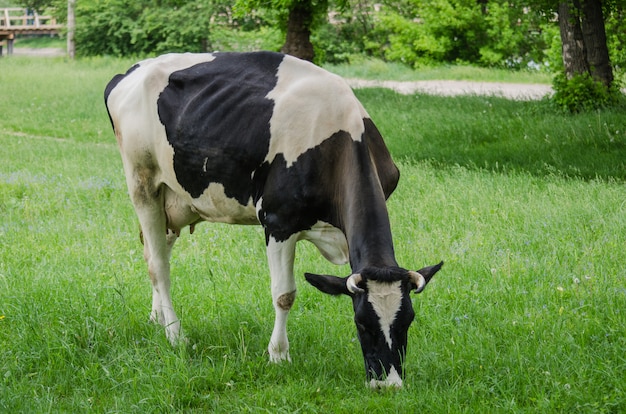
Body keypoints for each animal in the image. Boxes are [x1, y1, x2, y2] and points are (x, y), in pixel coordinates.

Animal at [105, 51, 442, 388]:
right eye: (362, 323)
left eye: (408, 320)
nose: (390, 384)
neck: (341, 134)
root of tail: (131, 71)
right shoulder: (279, 222)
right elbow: (284, 295)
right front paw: (279, 355)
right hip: (142, 183)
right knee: (158, 265)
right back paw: (174, 333)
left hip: (174, 198)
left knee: (155, 250)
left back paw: (157, 318)